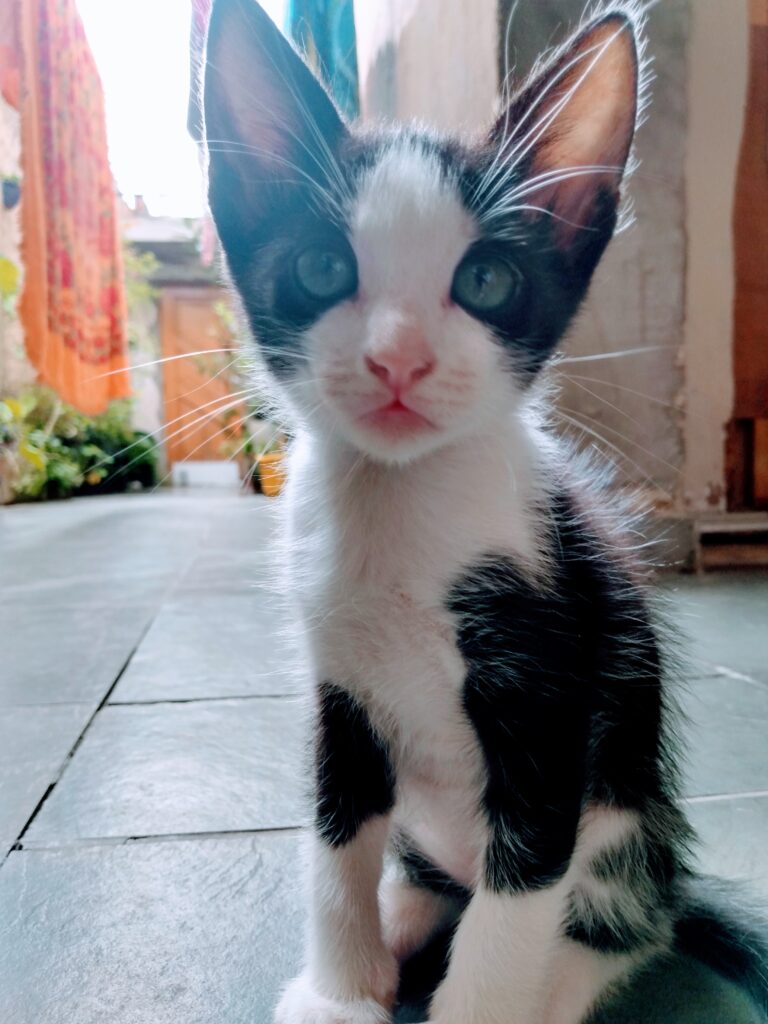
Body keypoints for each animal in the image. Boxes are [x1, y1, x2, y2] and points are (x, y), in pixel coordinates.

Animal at [202, 4, 768, 1019]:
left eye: (487, 283)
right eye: (320, 266)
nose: (398, 358)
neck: (401, 509)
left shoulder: (550, 681)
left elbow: (521, 890)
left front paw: (480, 998)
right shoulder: (338, 687)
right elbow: (335, 834)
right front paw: (339, 993)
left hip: (627, 822)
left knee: (624, 923)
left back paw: (564, 980)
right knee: (433, 875)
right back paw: (398, 924)